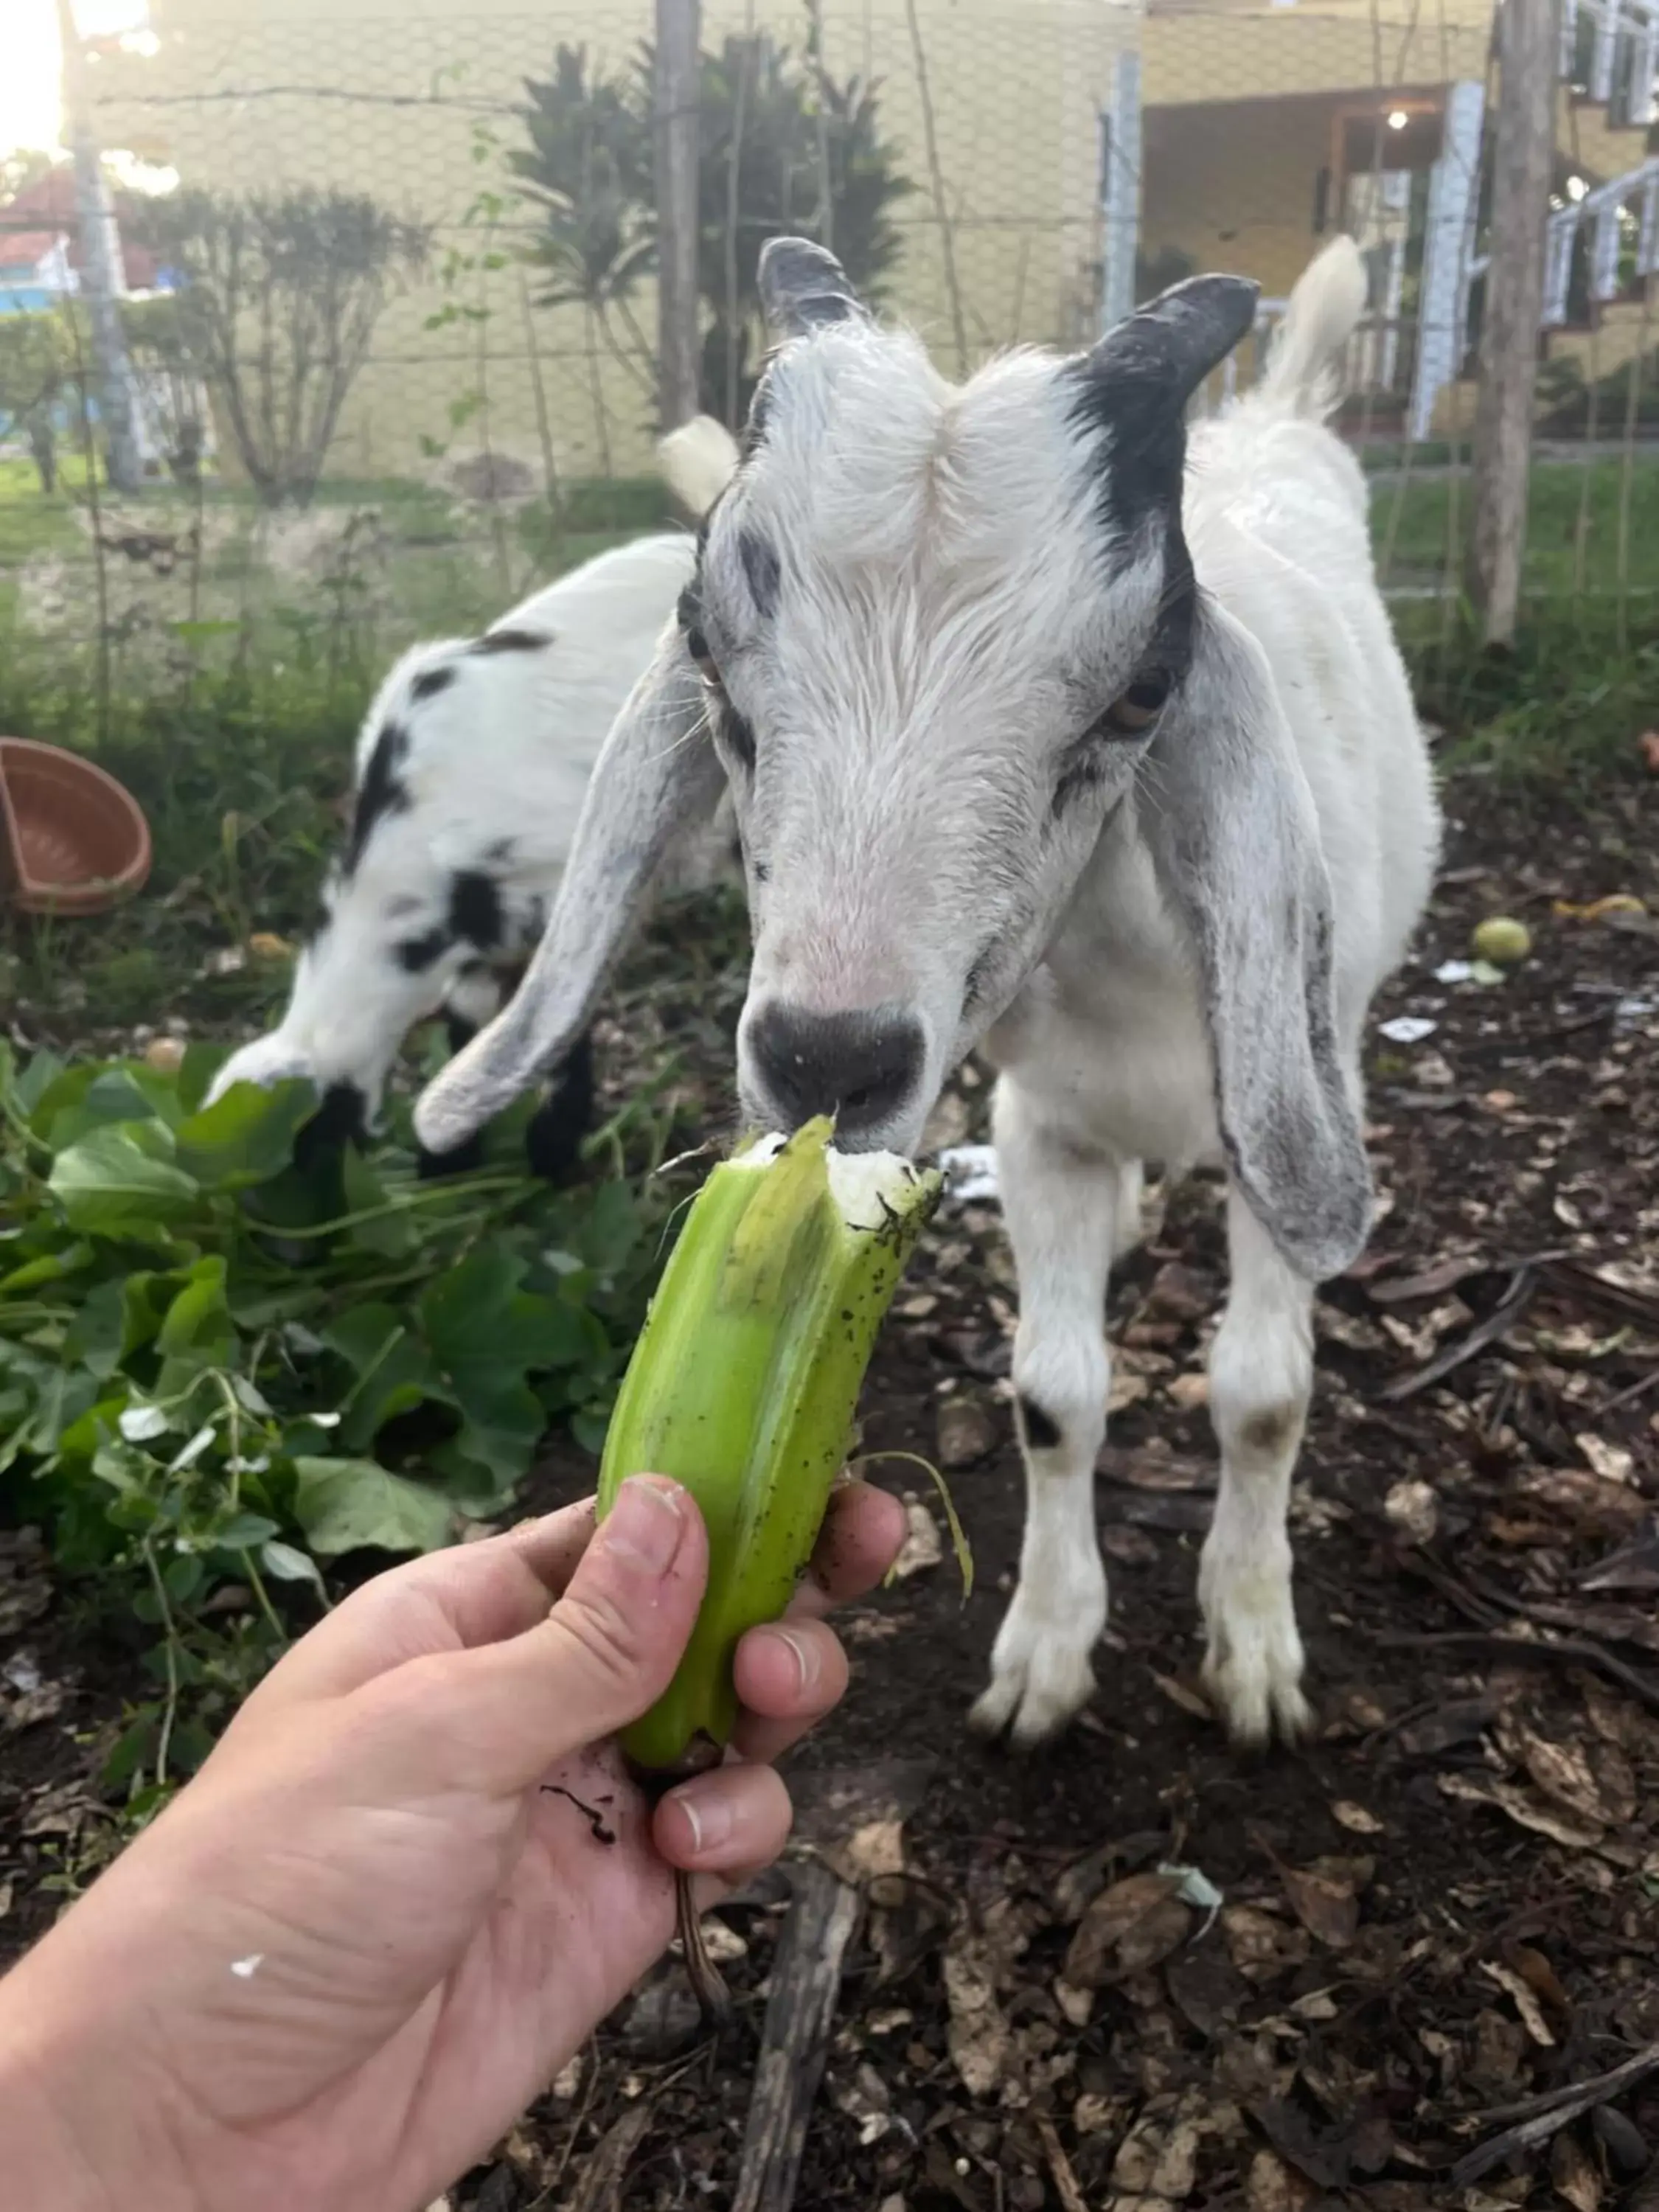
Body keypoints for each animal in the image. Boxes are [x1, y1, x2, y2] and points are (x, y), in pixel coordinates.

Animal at [204, 418, 739, 1177]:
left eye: (303, 1142)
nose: (305, 1230)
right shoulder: (483, 939)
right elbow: (468, 1024)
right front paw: (452, 1161)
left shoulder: (552, 894)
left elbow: (557, 1031)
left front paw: (551, 1157)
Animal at [416, 237, 1442, 1743]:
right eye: (706, 651)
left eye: (1144, 690)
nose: (824, 1064)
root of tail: (1284, 417)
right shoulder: (1043, 1123)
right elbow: (1054, 1396)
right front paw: (1043, 1658)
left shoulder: (1293, 1111)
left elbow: (1261, 1398)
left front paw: (1253, 1649)